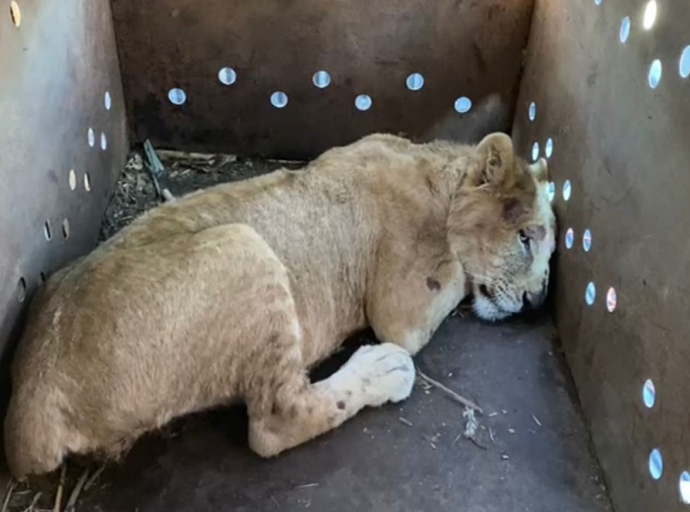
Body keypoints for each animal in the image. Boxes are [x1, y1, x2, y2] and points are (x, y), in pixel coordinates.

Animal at [4, 132, 555, 478]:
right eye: (526, 238)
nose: (536, 301)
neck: (436, 168)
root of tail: (33, 398)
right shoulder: (403, 308)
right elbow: (458, 274)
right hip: (242, 247)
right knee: (275, 423)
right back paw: (383, 369)